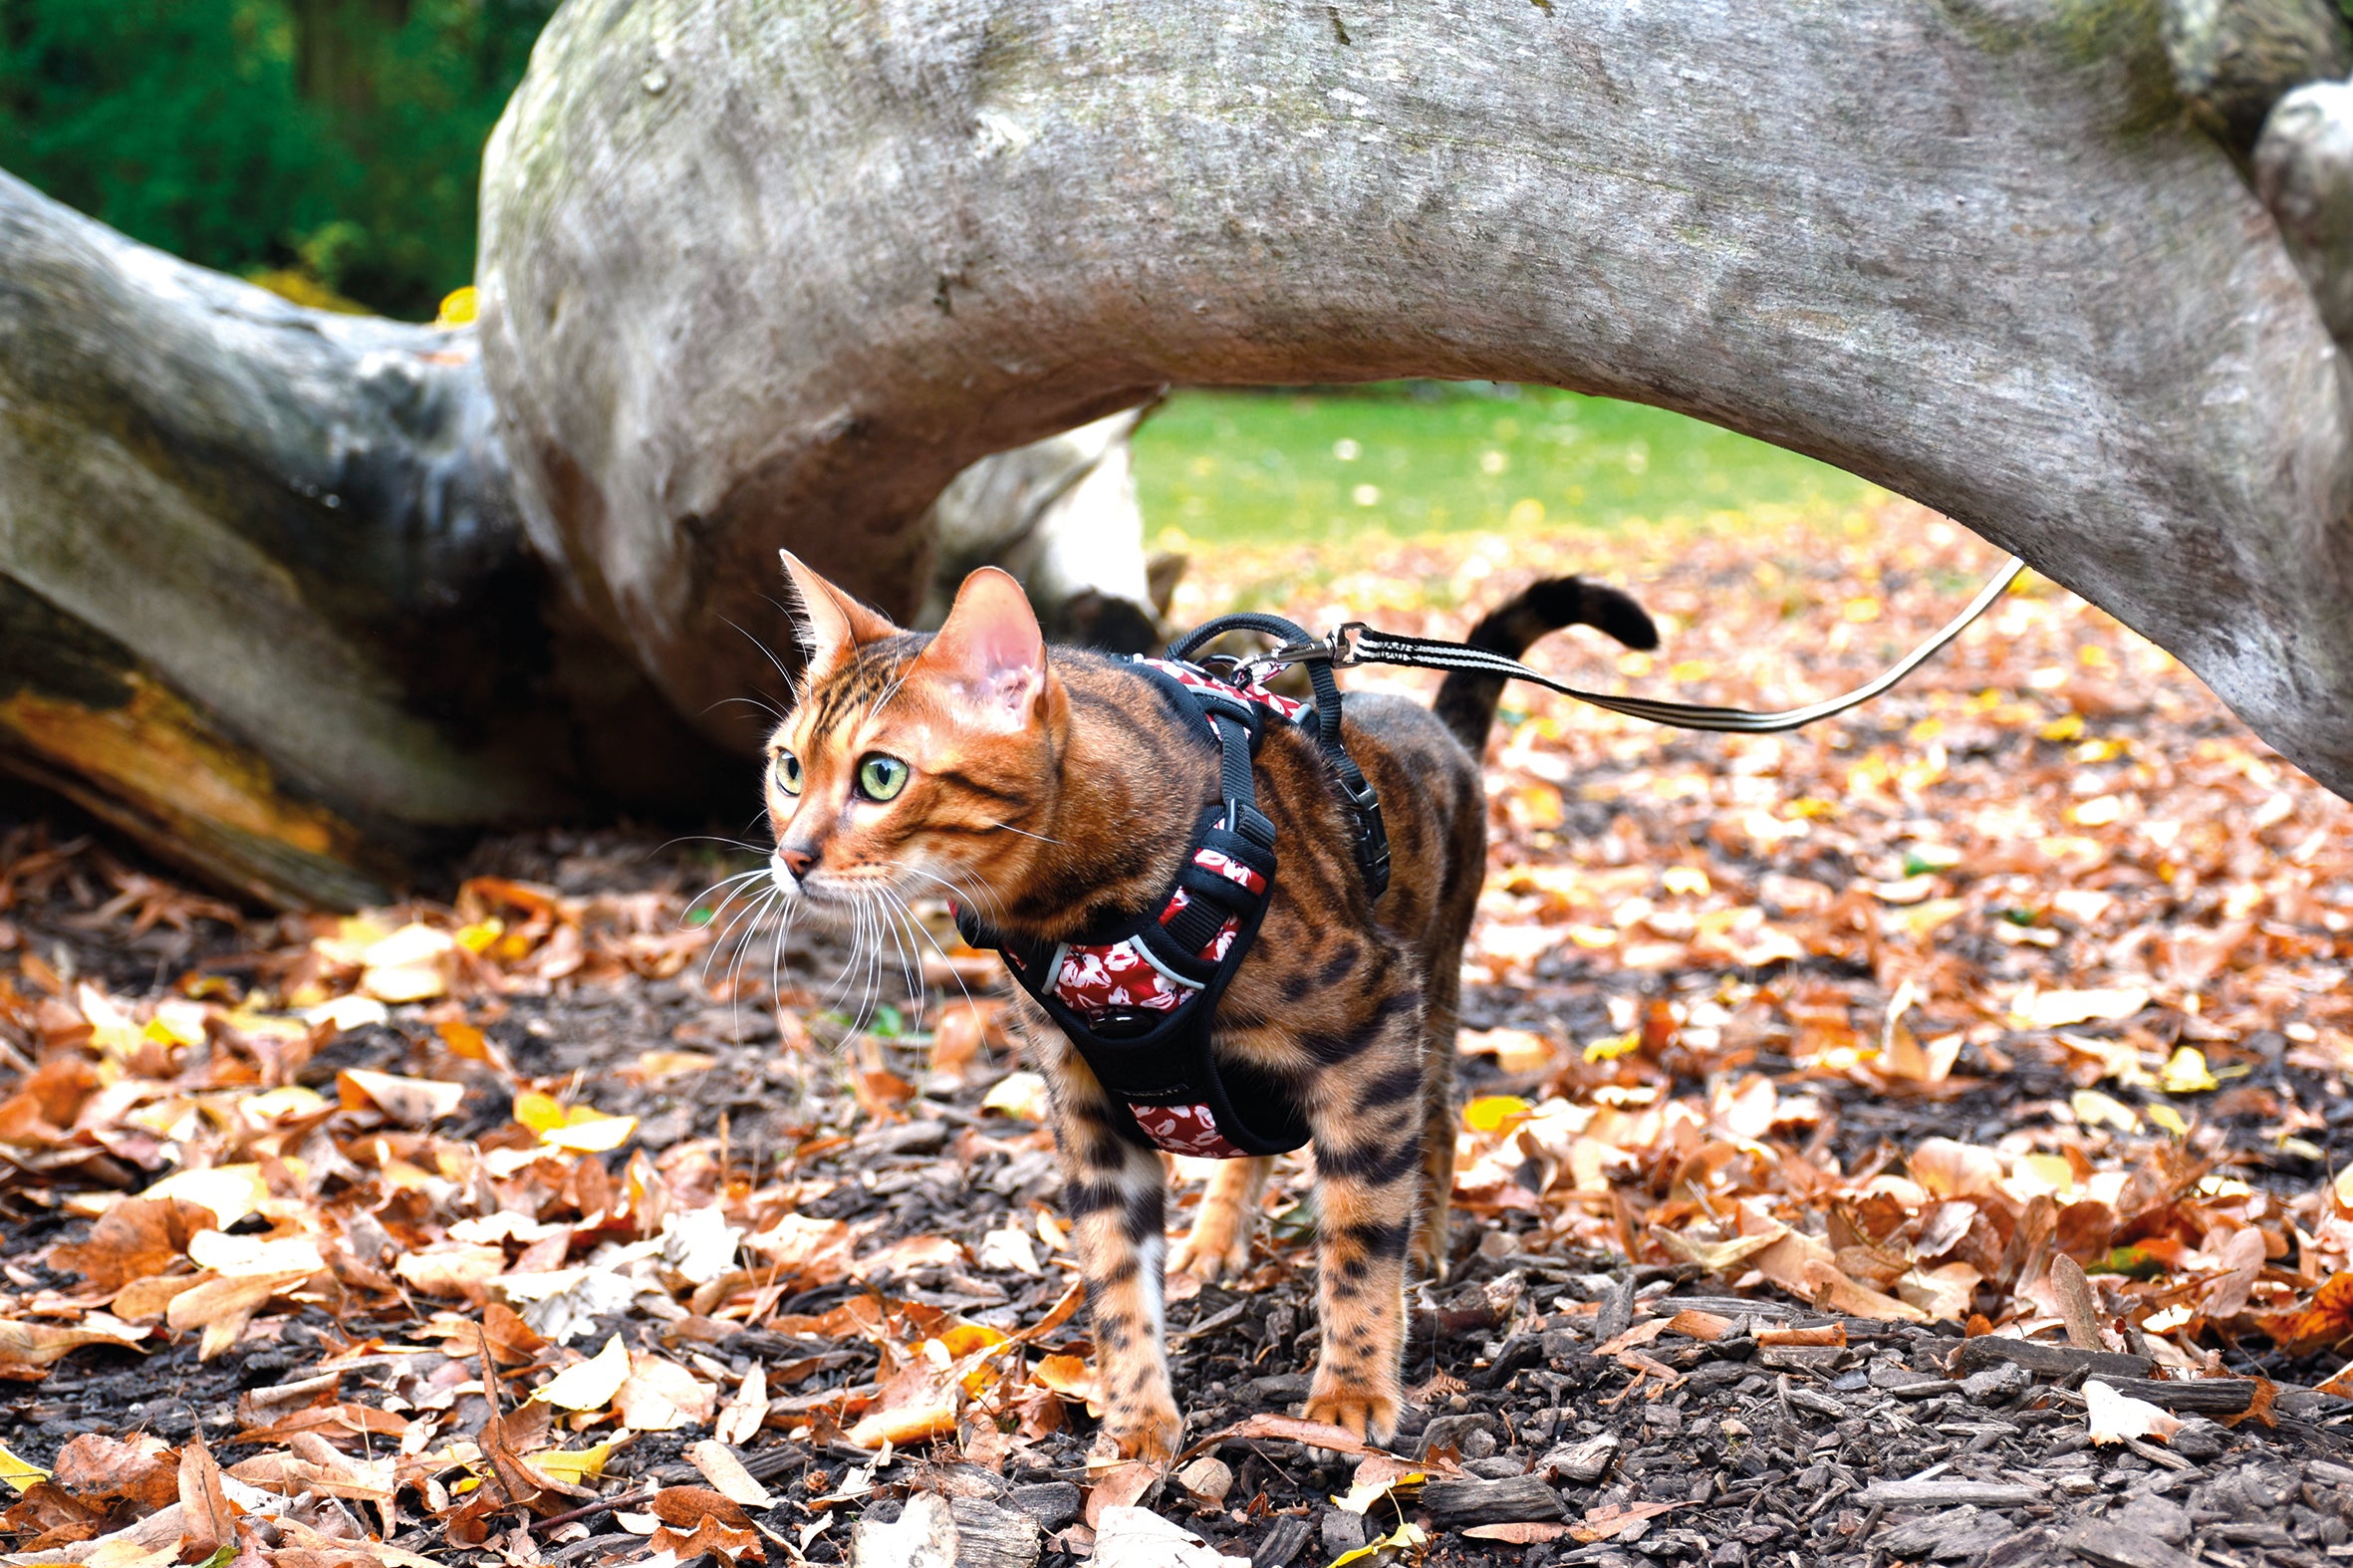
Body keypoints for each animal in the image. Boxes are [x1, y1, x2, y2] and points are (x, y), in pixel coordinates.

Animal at [757, 546, 1656, 1449]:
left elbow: (1361, 1230)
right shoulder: (1086, 1100)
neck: (1080, 910)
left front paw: (1352, 1389)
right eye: (788, 768)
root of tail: (1440, 728)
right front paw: (1136, 1422)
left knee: (1436, 1113)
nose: (790, 857)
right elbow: (1114, 1270)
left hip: (1431, 987)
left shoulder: (1372, 1026)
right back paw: (1216, 1237)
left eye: (881, 776)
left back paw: (1429, 1236)